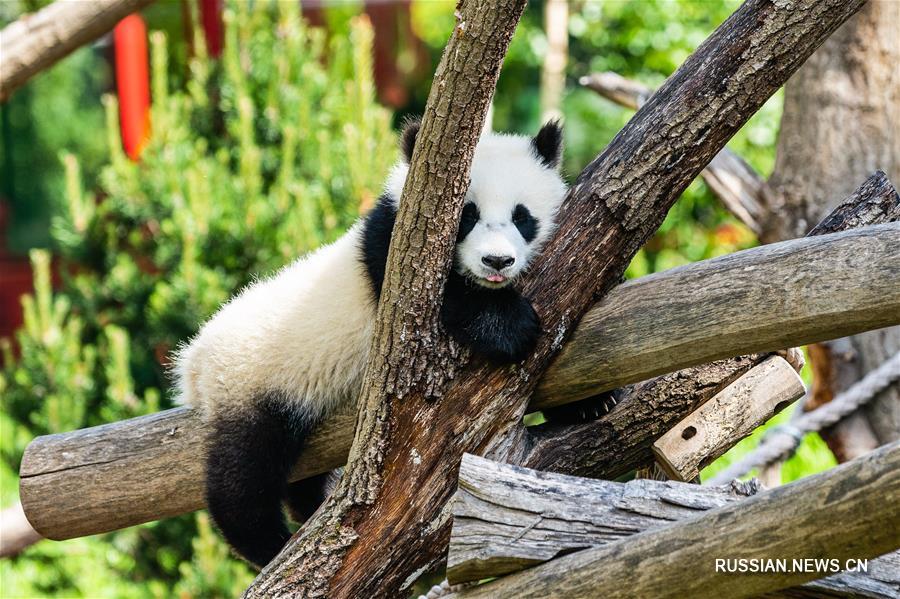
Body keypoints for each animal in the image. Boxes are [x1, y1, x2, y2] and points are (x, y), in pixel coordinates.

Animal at [171, 118, 568, 568]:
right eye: (468, 215)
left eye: (522, 217)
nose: (496, 262)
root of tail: (195, 361)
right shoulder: (395, 251)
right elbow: (441, 298)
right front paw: (510, 325)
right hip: (251, 382)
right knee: (245, 469)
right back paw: (267, 541)